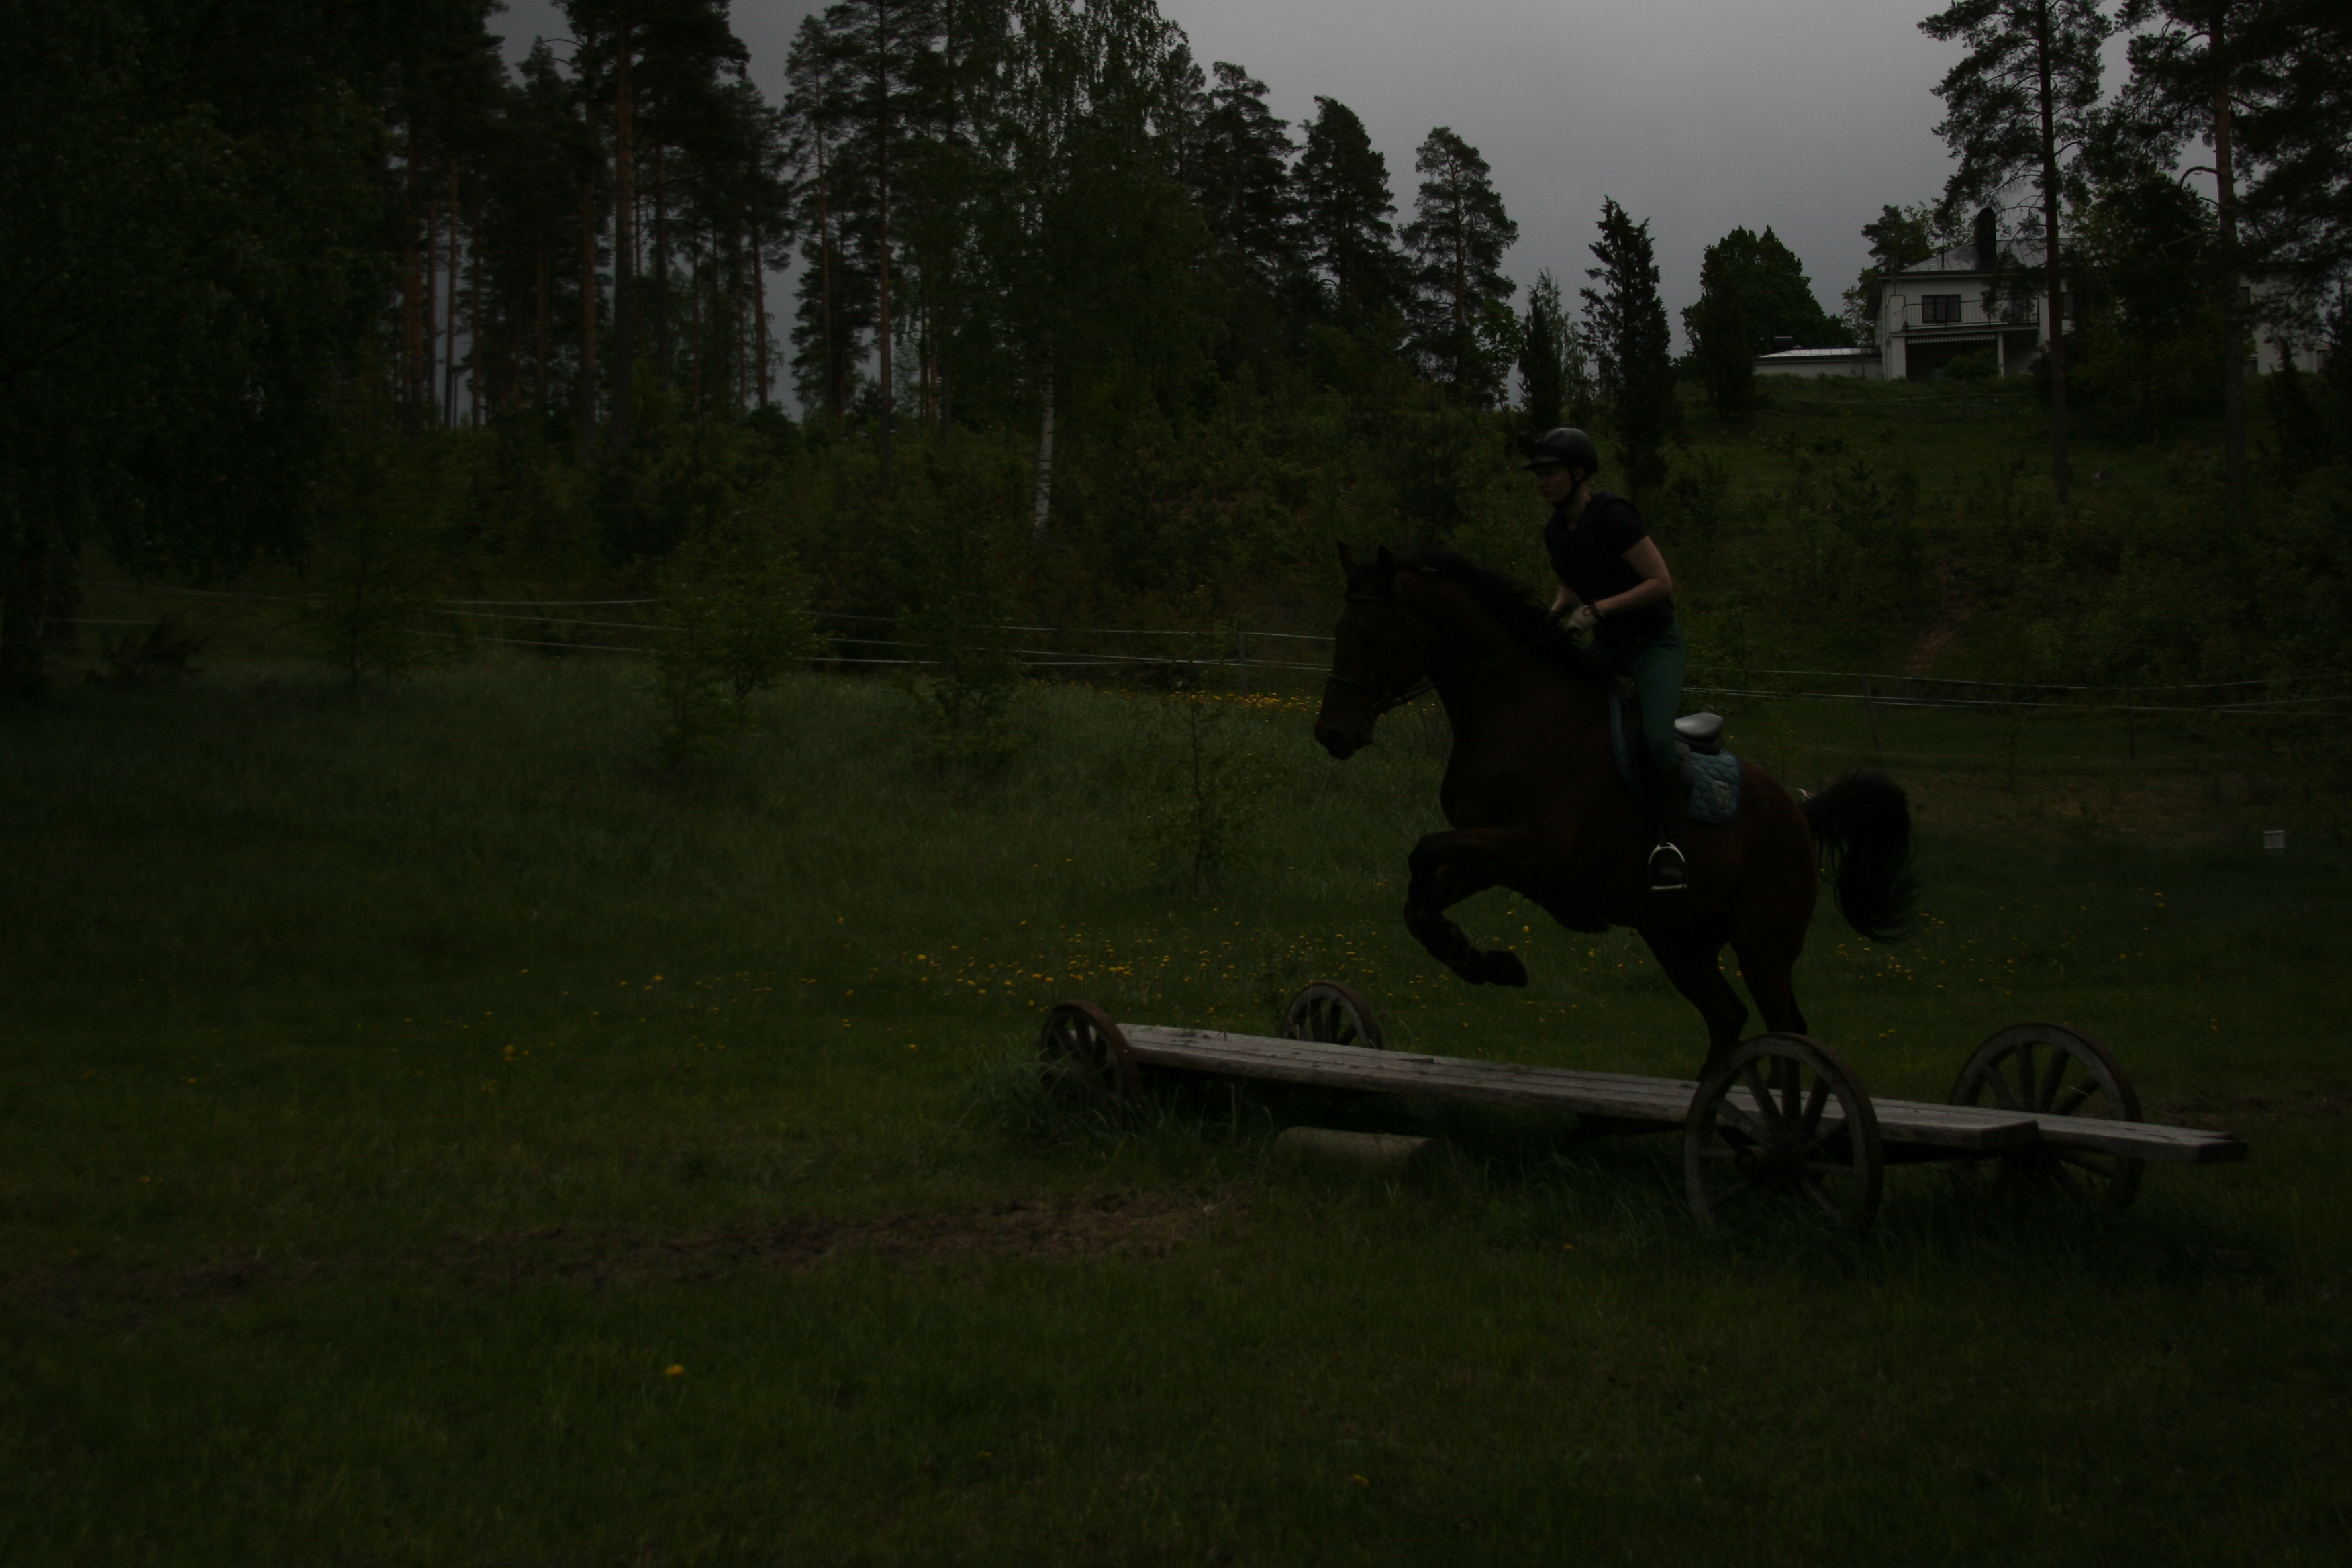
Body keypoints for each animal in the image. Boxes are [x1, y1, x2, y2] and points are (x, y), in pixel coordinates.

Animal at [1312, 545, 1916, 1072]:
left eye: (1373, 635)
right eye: (1339, 632)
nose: (1331, 734)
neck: (1516, 713)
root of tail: (1799, 815)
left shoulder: (1535, 849)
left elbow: (1423, 850)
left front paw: (1482, 960)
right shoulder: (1492, 855)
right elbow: (1419, 901)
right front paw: (1486, 963)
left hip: (1763, 943)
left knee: (1784, 1029)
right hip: (1677, 938)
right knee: (1727, 1016)